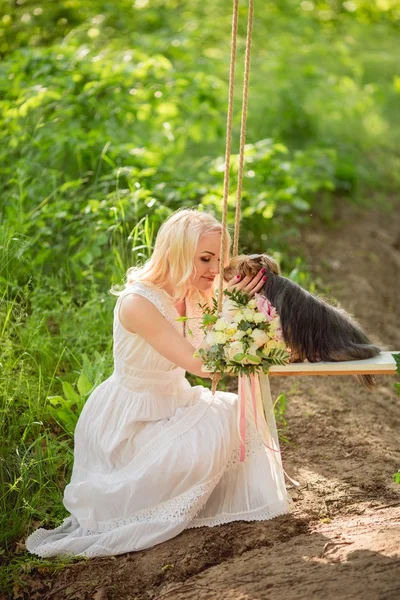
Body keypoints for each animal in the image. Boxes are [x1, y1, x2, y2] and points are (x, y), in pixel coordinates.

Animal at [225, 253, 382, 390]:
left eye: (231, 267)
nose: (223, 269)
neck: (267, 283)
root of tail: (363, 339)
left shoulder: (289, 327)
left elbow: (295, 347)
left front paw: (292, 359)